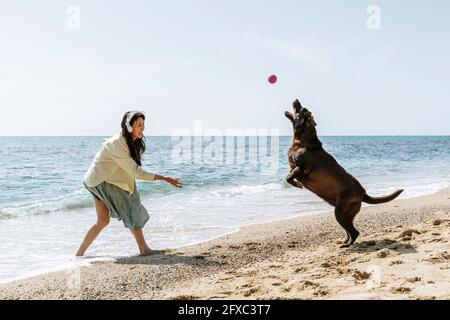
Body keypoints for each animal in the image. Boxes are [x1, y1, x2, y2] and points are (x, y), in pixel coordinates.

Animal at [284, 99, 404, 248]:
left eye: (300, 109)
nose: (296, 100)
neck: (303, 139)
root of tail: (363, 193)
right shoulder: (294, 167)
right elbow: (289, 174)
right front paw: (296, 182)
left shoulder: (303, 167)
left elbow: (289, 176)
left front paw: (296, 183)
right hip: (344, 213)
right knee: (349, 231)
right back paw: (345, 242)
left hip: (340, 212)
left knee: (354, 232)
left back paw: (347, 245)